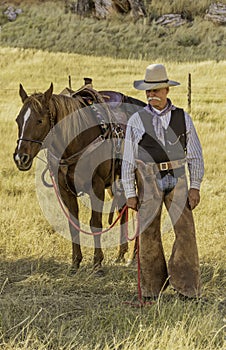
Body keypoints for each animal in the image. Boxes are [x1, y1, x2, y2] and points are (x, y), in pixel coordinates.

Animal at [13, 83, 146, 274]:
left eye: (39, 121)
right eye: (18, 120)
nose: (20, 158)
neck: (76, 141)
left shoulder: (96, 187)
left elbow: (95, 222)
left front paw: (97, 264)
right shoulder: (65, 190)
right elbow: (72, 225)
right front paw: (75, 263)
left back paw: (134, 256)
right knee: (124, 209)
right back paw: (122, 254)